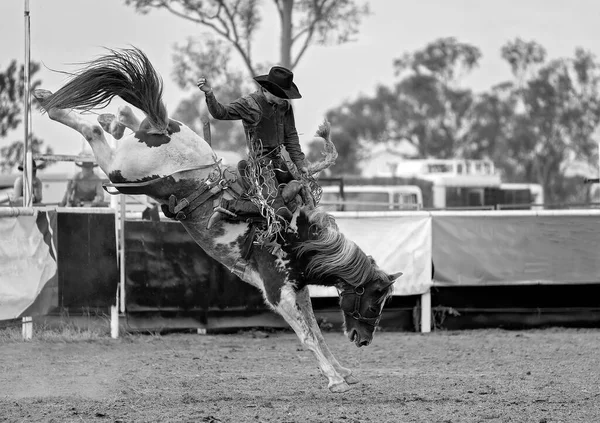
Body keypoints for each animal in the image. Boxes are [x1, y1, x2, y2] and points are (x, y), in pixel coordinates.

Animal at [31, 47, 398, 394]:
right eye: (375, 300)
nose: (364, 340)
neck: (296, 237)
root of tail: (163, 128)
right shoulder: (278, 290)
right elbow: (307, 335)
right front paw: (335, 380)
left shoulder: (298, 288)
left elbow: (316, 330)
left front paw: (343, 371)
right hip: (121, 171)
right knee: (94, 130)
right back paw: (53, 104)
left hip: (135, 159)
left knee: (124, 121)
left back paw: (103, 114)